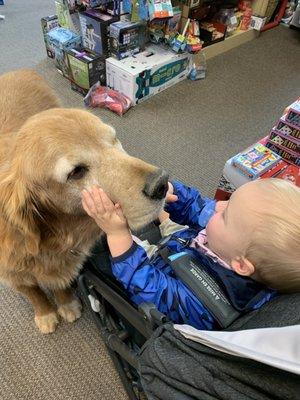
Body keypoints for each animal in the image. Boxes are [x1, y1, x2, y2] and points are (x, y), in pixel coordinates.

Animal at [0, 69, 169, 334]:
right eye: (76, 172)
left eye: (114, 140)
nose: (161, 183)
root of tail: (18, 70)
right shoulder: (11, 273)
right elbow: (33, 292)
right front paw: (45, 313)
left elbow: (58, 282)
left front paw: (66, 303)